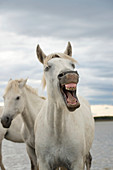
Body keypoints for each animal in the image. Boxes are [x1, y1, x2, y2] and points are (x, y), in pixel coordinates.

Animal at [34, 42, 94, 170]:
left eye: (72, 64)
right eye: (47, 67)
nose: (70, 75)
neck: (57, 130)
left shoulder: (77, 163)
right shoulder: (44, 163)